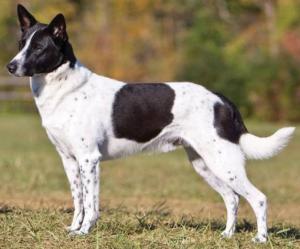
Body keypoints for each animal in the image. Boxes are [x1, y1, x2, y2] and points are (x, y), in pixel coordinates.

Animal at [7, 4, 296, 243]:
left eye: (38, 48)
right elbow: (78, 199)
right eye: (21, 43)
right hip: (204, 163)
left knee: (258, 198)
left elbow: (91, 202)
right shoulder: (68, 158)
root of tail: (222, 100)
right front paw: (74, 228)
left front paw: (85, 231)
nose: (10, 66)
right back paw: (227, 234)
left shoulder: (89, 158)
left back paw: (261, 239)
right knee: (232, 197)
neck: (65, 89)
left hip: (224, 161)